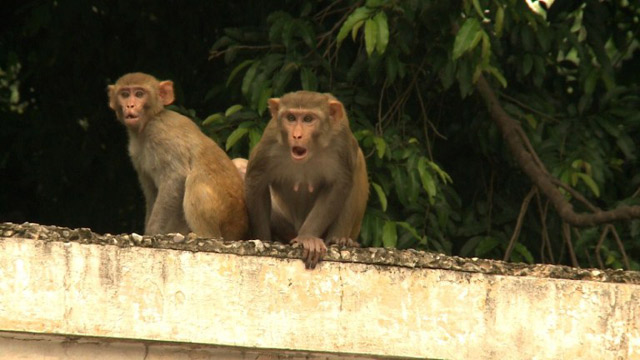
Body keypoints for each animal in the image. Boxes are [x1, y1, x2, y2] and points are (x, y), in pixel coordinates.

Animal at [107, 71, 248, 240]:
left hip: (229, 220)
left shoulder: (162, 135)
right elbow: (151, 191)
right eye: (125, 94)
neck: (149, 123)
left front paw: (152, 232)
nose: (130, 105)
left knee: (197, 180)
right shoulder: (136, 153)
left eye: (139, 94)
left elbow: (176, 178)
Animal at [244, 91, 368, 268]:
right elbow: (256, 182)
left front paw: (307, 237)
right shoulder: (270, 141)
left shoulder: (342, 142)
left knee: (357, 161)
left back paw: (340, 239)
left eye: (308, 119)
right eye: (291, 117)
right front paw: (263, 240)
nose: (297, 135)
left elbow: (340, 184)